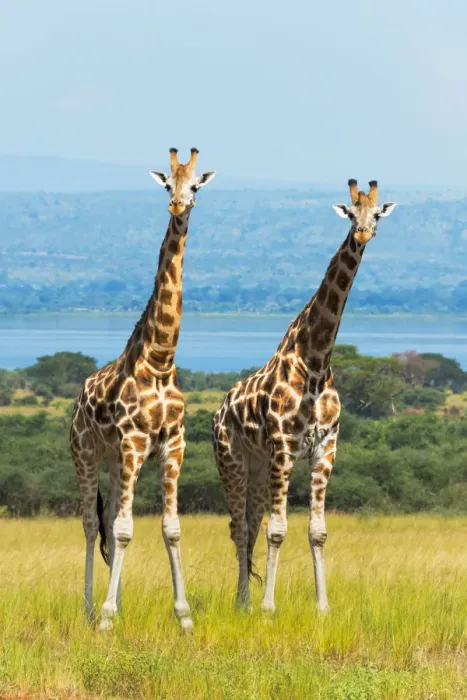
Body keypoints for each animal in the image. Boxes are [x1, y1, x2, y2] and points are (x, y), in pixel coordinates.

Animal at [70, 148, 216, 632]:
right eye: (167, 184)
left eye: (195, 185)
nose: (177, 206)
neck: (160, 360)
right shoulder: (134, 442)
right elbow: (123, 530)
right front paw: (107, 618)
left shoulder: (173, 445)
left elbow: (169, 528)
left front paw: (184, 618)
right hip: (87, 453)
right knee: (91, 524)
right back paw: (90, 607)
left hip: (118, 462)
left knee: (110, 517)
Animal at [213, 180, 396, 613]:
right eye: (350, 213)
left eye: (377, 214)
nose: (363, 234)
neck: (315, 361)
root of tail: (217, 412)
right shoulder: (284, 445)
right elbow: (278, 530)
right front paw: (268, 608)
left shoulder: (325, 447)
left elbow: (317, 531)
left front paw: (323, 607)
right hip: (232, 460)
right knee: (239, 527)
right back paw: (244, 604)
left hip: (259, 467)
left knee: (249, 524)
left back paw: (245, 600)